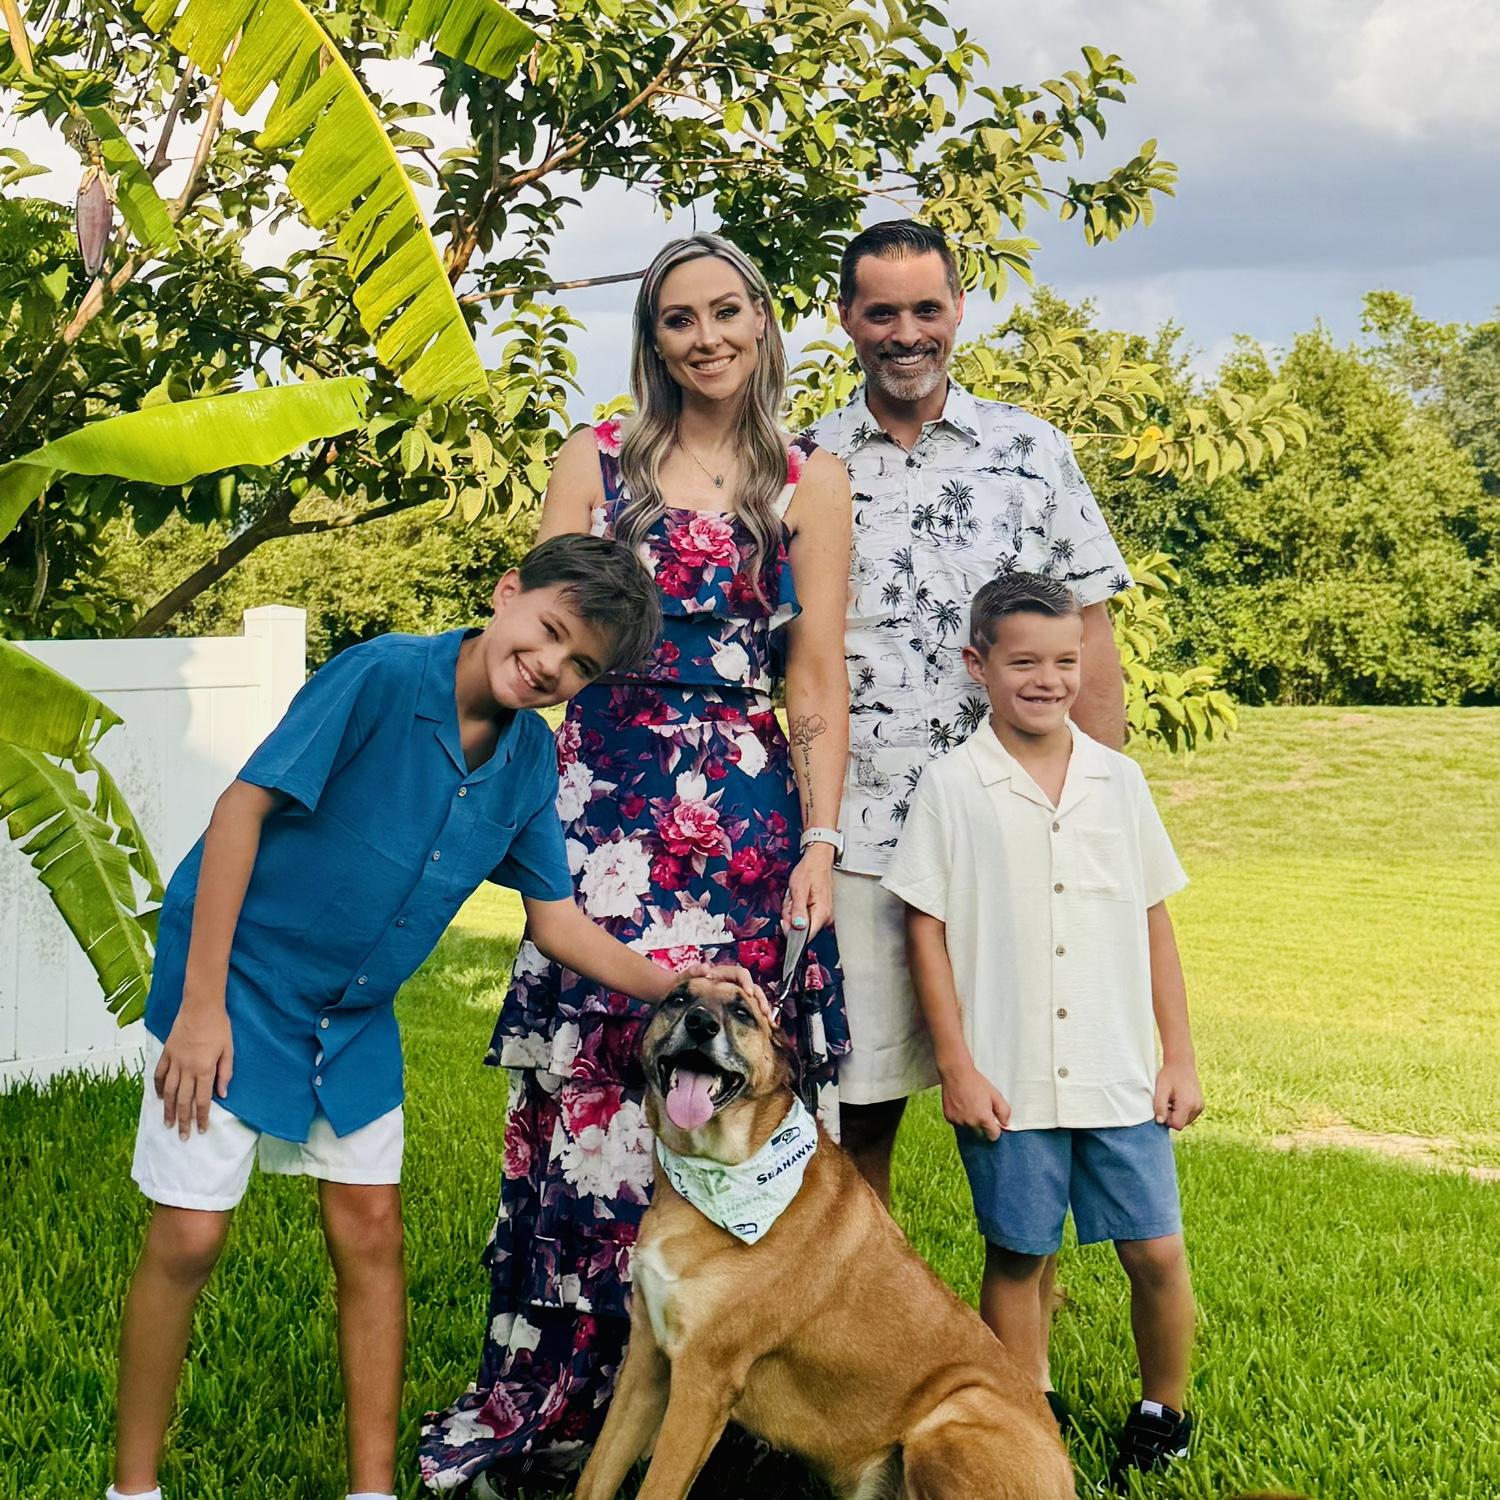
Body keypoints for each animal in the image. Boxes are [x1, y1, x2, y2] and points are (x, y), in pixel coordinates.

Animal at [573, 984, 1075, 1500]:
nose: (700, 1024)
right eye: (677, 997)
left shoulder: (704, 1378)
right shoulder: (646, 1359)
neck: (718, 1177)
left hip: (952, 1417)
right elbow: (596, 1476)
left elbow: (658, 1485)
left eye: (742, 1012)